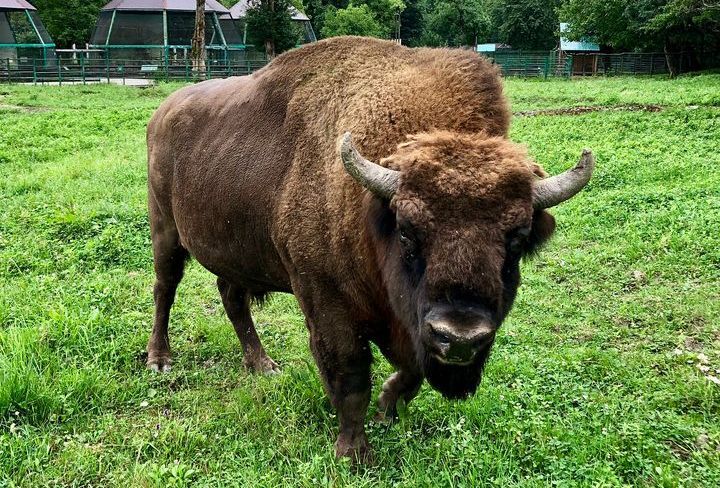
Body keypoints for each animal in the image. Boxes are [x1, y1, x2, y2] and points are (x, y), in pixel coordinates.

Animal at [146, 36, 595, 461]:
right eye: (408, 232)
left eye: (517, 239)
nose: (460, 337)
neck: (370, 210)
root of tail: (163, 111)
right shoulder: (328, 304)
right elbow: (351, 376)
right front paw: (354, 453)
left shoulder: (410, 328)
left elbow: (409, 373)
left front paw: (387, 409)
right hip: (165, 231)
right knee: (165, 289)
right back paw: (159, 359)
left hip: (234, 252)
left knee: (232, 296)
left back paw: (262, 365)